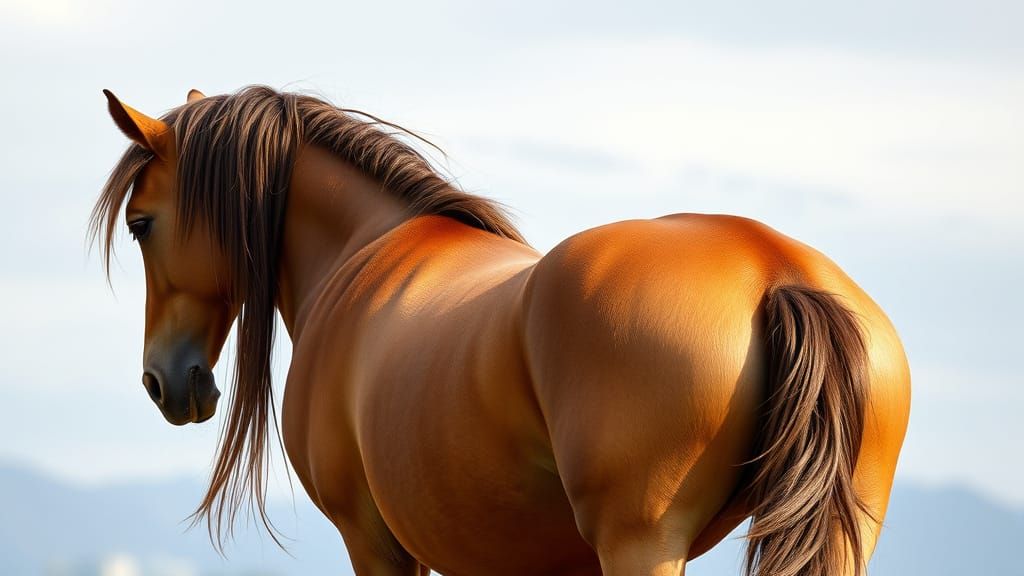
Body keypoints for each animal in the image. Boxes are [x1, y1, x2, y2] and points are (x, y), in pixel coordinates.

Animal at [91, 85, 910, 576]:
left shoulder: (372, 540)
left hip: (641, 542)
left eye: (141, 224)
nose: (164, 382)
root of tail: (773, 269)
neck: (363, 248)